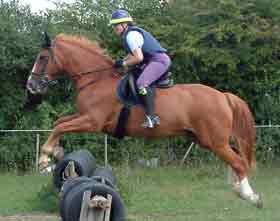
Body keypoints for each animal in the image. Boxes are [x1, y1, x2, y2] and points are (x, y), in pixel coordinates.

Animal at [26, 33, 262, 207]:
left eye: (42, 58)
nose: (31, 85)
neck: (95, 79)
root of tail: (223, 95)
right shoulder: (82, 116)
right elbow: (59, 124)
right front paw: (56, 154)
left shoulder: (92, 121)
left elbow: (61, 127)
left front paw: (45, 159)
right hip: (208, 139)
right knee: (236, 158)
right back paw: (238, 189)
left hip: (214, 141)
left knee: (239, 162)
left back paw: (250, 196)